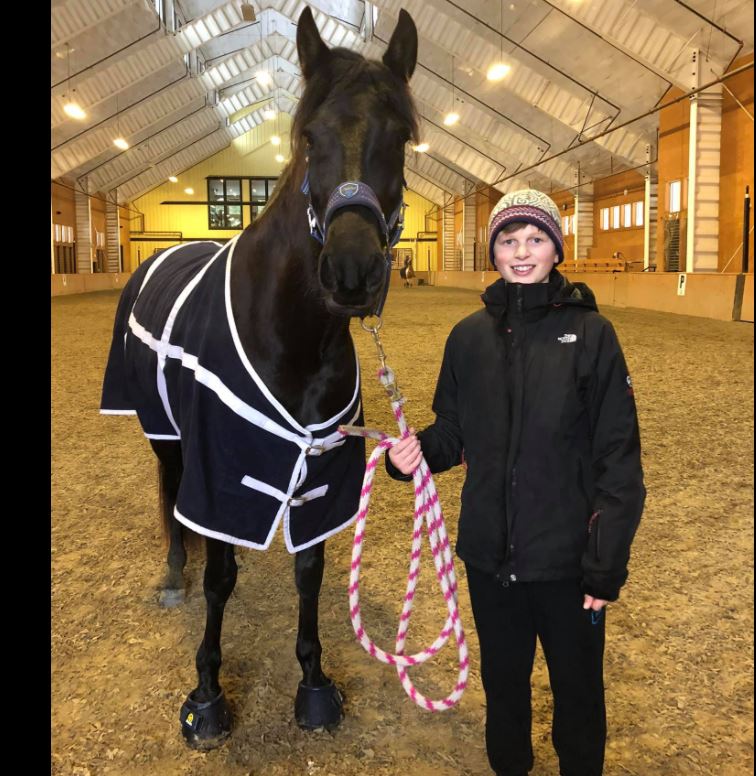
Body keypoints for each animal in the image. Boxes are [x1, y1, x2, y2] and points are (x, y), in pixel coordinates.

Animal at [100, 7, 419, 749]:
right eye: (308, 137)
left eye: (402, 138)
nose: (353, 272)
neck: (292, 339)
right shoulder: (218, 466)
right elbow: (220, 576)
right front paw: (207, 695)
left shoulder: (323, 471)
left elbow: (310, 571)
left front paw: (314, 681)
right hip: (165, 435)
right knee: (172, 500)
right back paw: (173, 576)